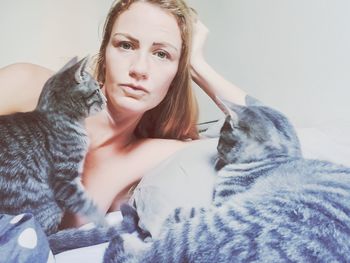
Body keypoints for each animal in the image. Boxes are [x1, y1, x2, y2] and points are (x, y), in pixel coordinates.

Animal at [0, 56, 106, 236]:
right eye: (97, 90)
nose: (106, 100)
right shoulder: (65, 179)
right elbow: (87, 205)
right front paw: (105, 222)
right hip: (48, 204)